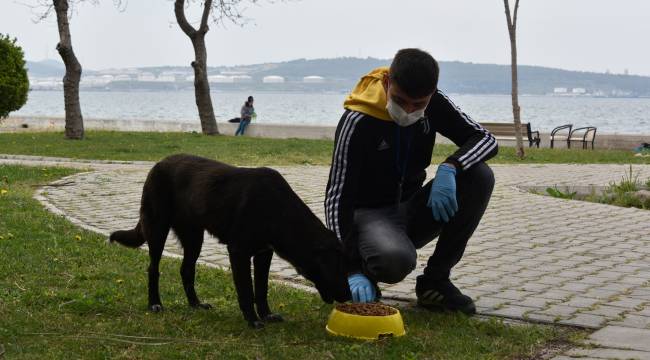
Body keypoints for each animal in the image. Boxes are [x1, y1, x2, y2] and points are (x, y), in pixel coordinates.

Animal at [109, 153, 350, 328]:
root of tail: (159, 163)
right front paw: (253, 320)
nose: (348, 296)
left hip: (194, 238)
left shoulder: (264, 254)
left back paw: (195, 304)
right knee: (153, 269)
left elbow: (261, 289)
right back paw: (155, 304)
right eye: (339, 268)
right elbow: (246, 289)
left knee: (186, 270)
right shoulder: (239, 252)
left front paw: (267, 315)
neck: (278, 211)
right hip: (158, 229)